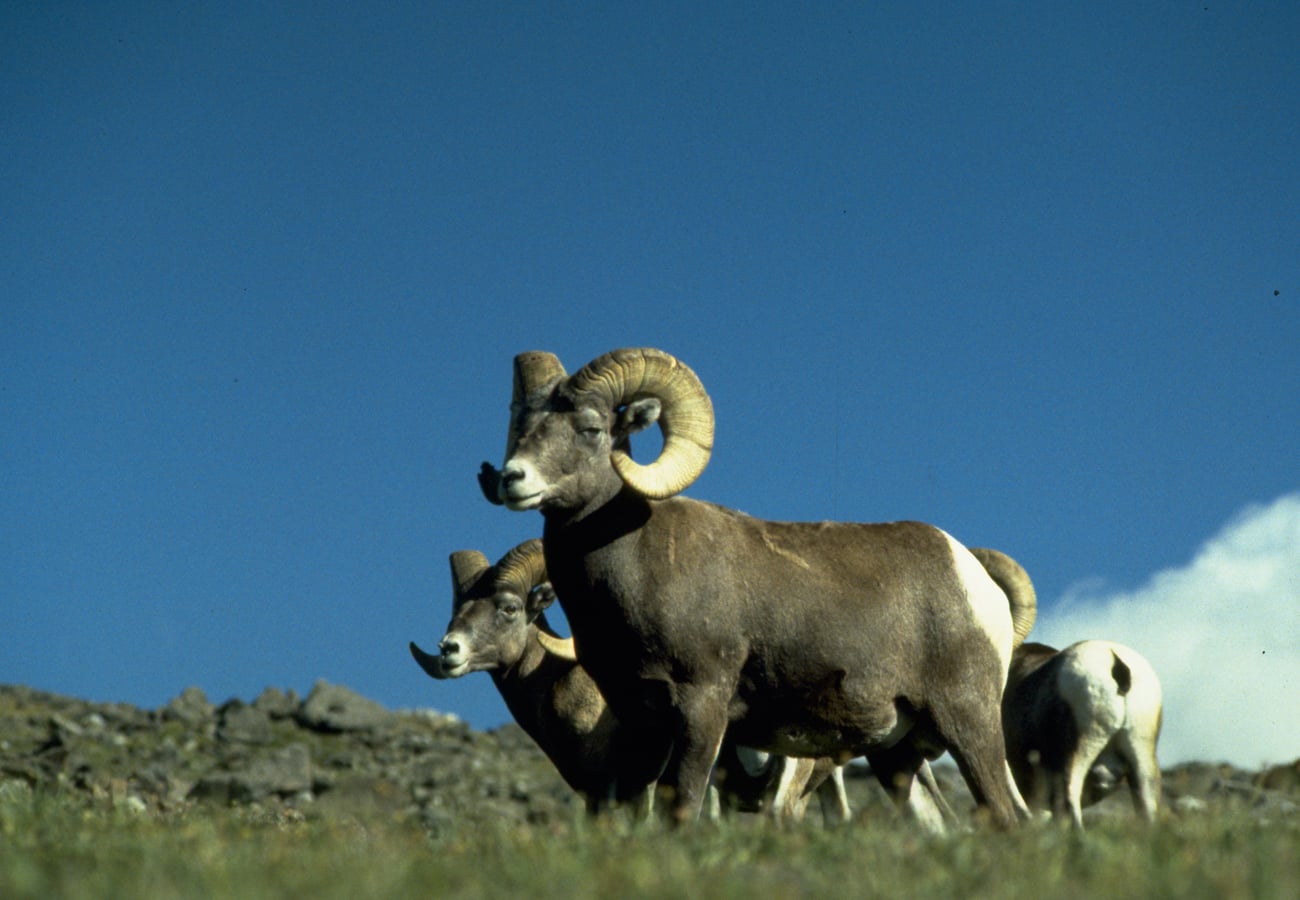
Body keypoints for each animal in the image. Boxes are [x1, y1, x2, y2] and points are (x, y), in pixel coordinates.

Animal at [476, 347, 1036, 827]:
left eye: (591, 428)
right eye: (521, 427)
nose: (513, 479)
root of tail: (973, 577)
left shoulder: (701, 706)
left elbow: (683, 807)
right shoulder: (640, 721)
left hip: (967, 721)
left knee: (1008, 816)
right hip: (897, 754)